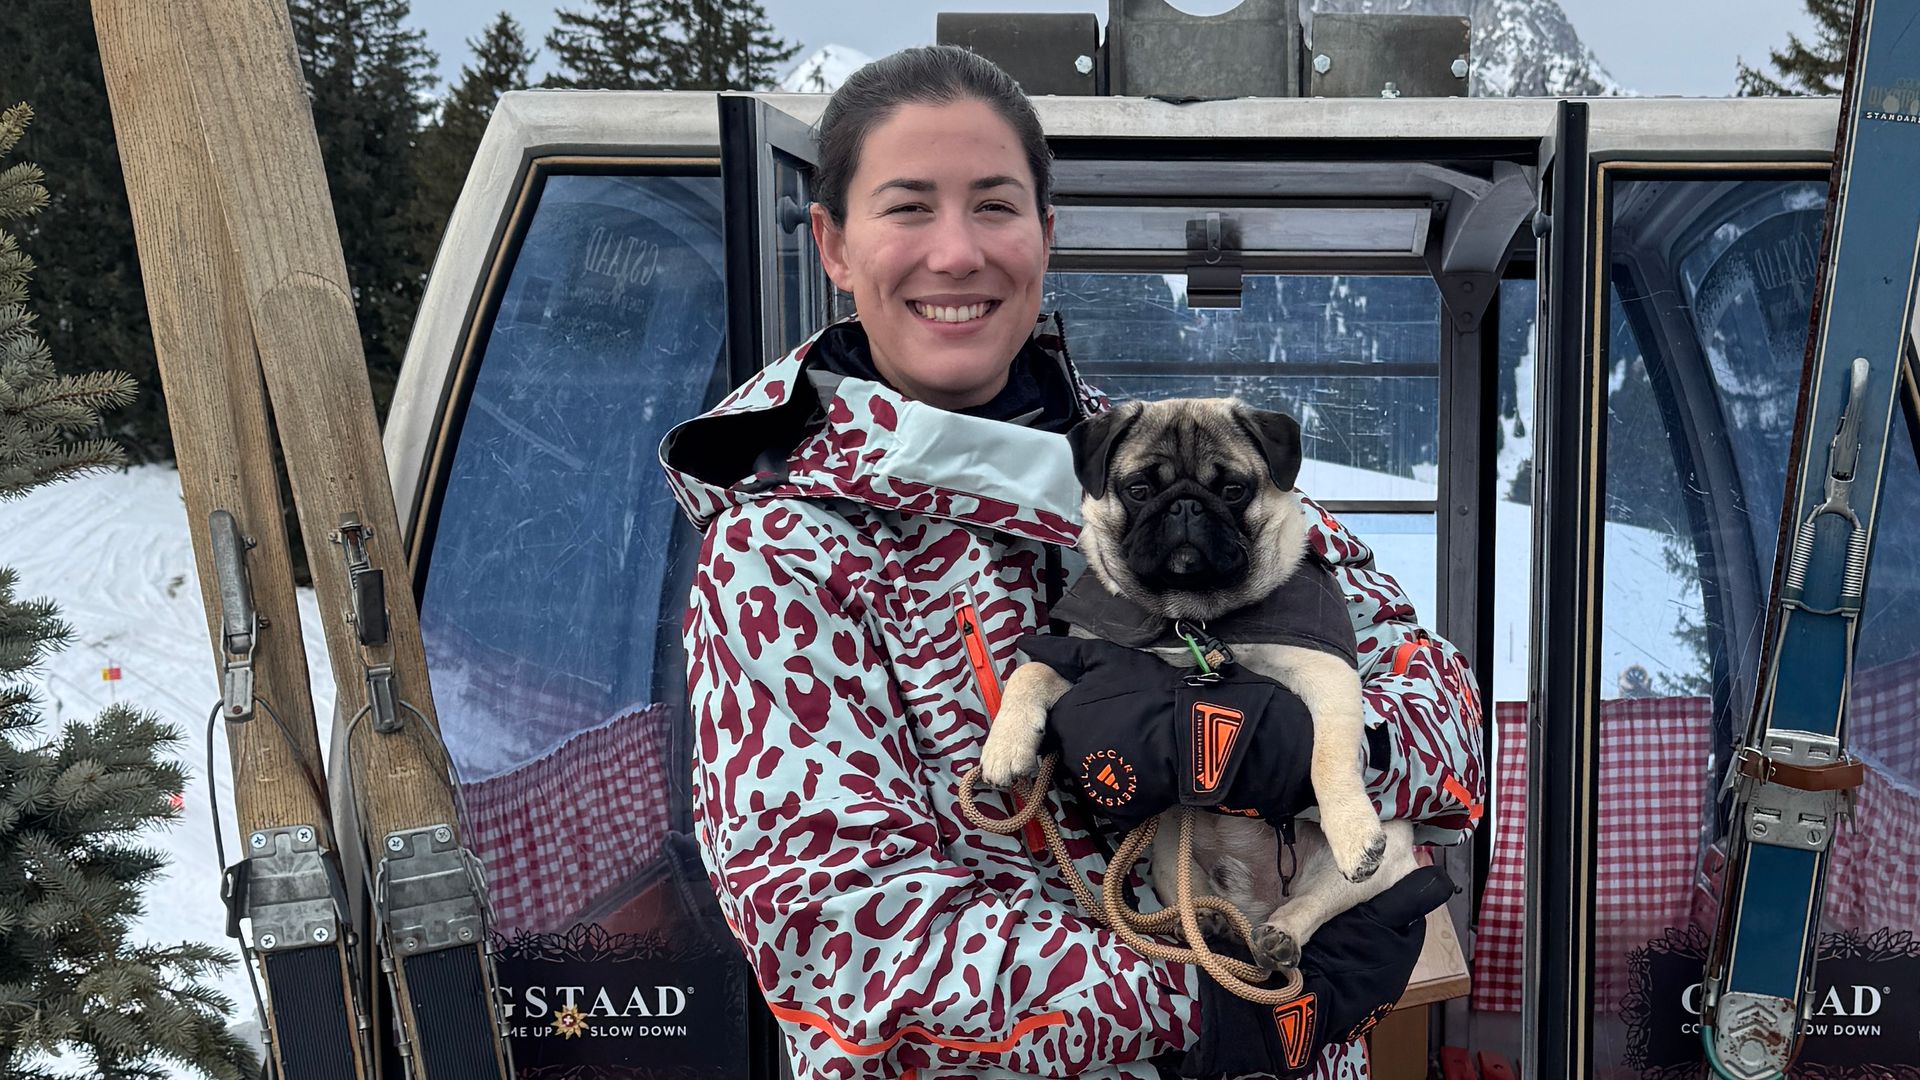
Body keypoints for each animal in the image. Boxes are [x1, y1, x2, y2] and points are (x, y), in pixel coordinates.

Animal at [983, 399, 1420, 972]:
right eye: (1139, 489)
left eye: (1233, 490)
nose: (1185, 506)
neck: (1191, 619)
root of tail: (1256, 904)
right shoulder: (1090, 659)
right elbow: (1029, 673)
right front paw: (1004, 745)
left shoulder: (1326, 676)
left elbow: (1328, 757)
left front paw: (1351, 829)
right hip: (1170, 849)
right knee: (1190, 899)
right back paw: (1202, 923)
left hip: (1393, 851)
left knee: (1314, 903)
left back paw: (1280, 936)